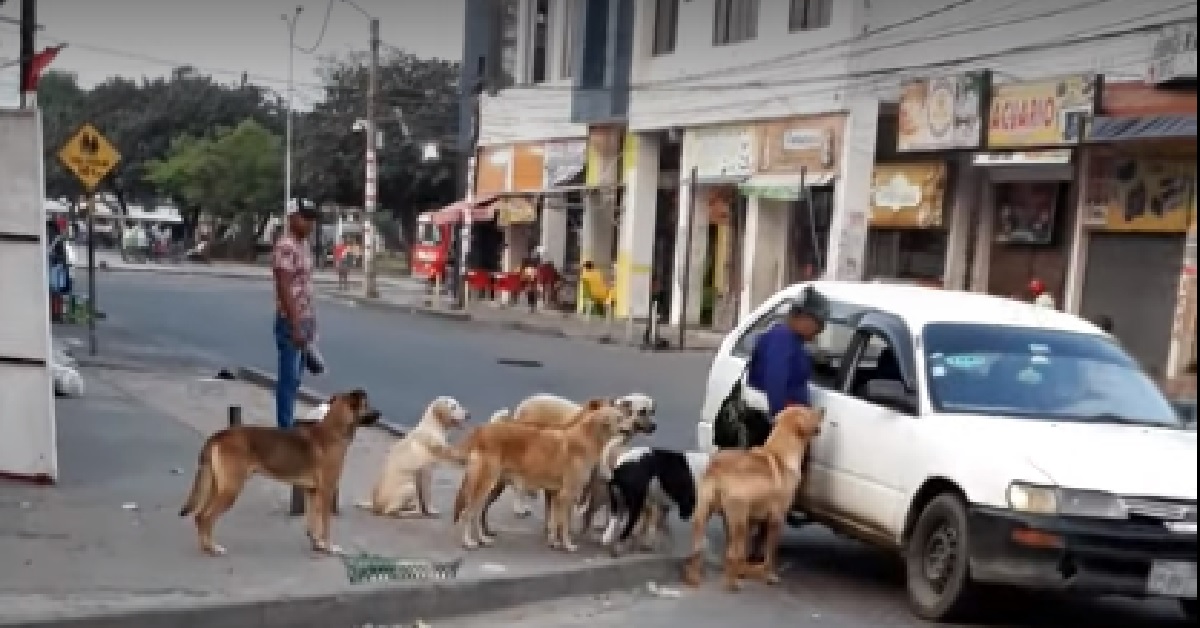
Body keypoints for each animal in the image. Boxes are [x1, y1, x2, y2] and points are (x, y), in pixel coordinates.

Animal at [177, 391, 379, 557]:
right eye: (367, 404)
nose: (380, 413)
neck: (334, 430)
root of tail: (220, 434)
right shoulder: (327, 491)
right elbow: (325, 525)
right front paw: (328, 547)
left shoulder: (312, 492)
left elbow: (312, 523)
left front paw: (317, 545)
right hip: (230, 490)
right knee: (206, 517)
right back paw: (213, 548)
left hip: (217, 487)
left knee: (199, 516)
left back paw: (205, 546)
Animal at [451, 401, 638, 552]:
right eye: (619, 418)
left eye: (624, 416)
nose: (632, 428)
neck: (586, 438)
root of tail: (480, 431)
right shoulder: (568, 494)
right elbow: (564, 524)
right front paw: (567, 545)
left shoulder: (556, 495)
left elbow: (554, 522)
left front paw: (553, 543)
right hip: (484, 486)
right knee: (467, 514)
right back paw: (468, 542)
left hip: (486, 487)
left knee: (476, 514)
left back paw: (483, 539)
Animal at [686, 405, 825, 593]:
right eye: (810, 412)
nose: (823, 409)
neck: (780, 454)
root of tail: (717, 468)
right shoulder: (776, 519)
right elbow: (770, 553)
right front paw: (769, 576)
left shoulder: (757, 519)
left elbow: (754, 547)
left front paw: (748, 569)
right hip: (739, 520)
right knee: (732, 553)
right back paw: (733, 584)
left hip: (704, 512)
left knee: (698, 548)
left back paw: (694, 578)